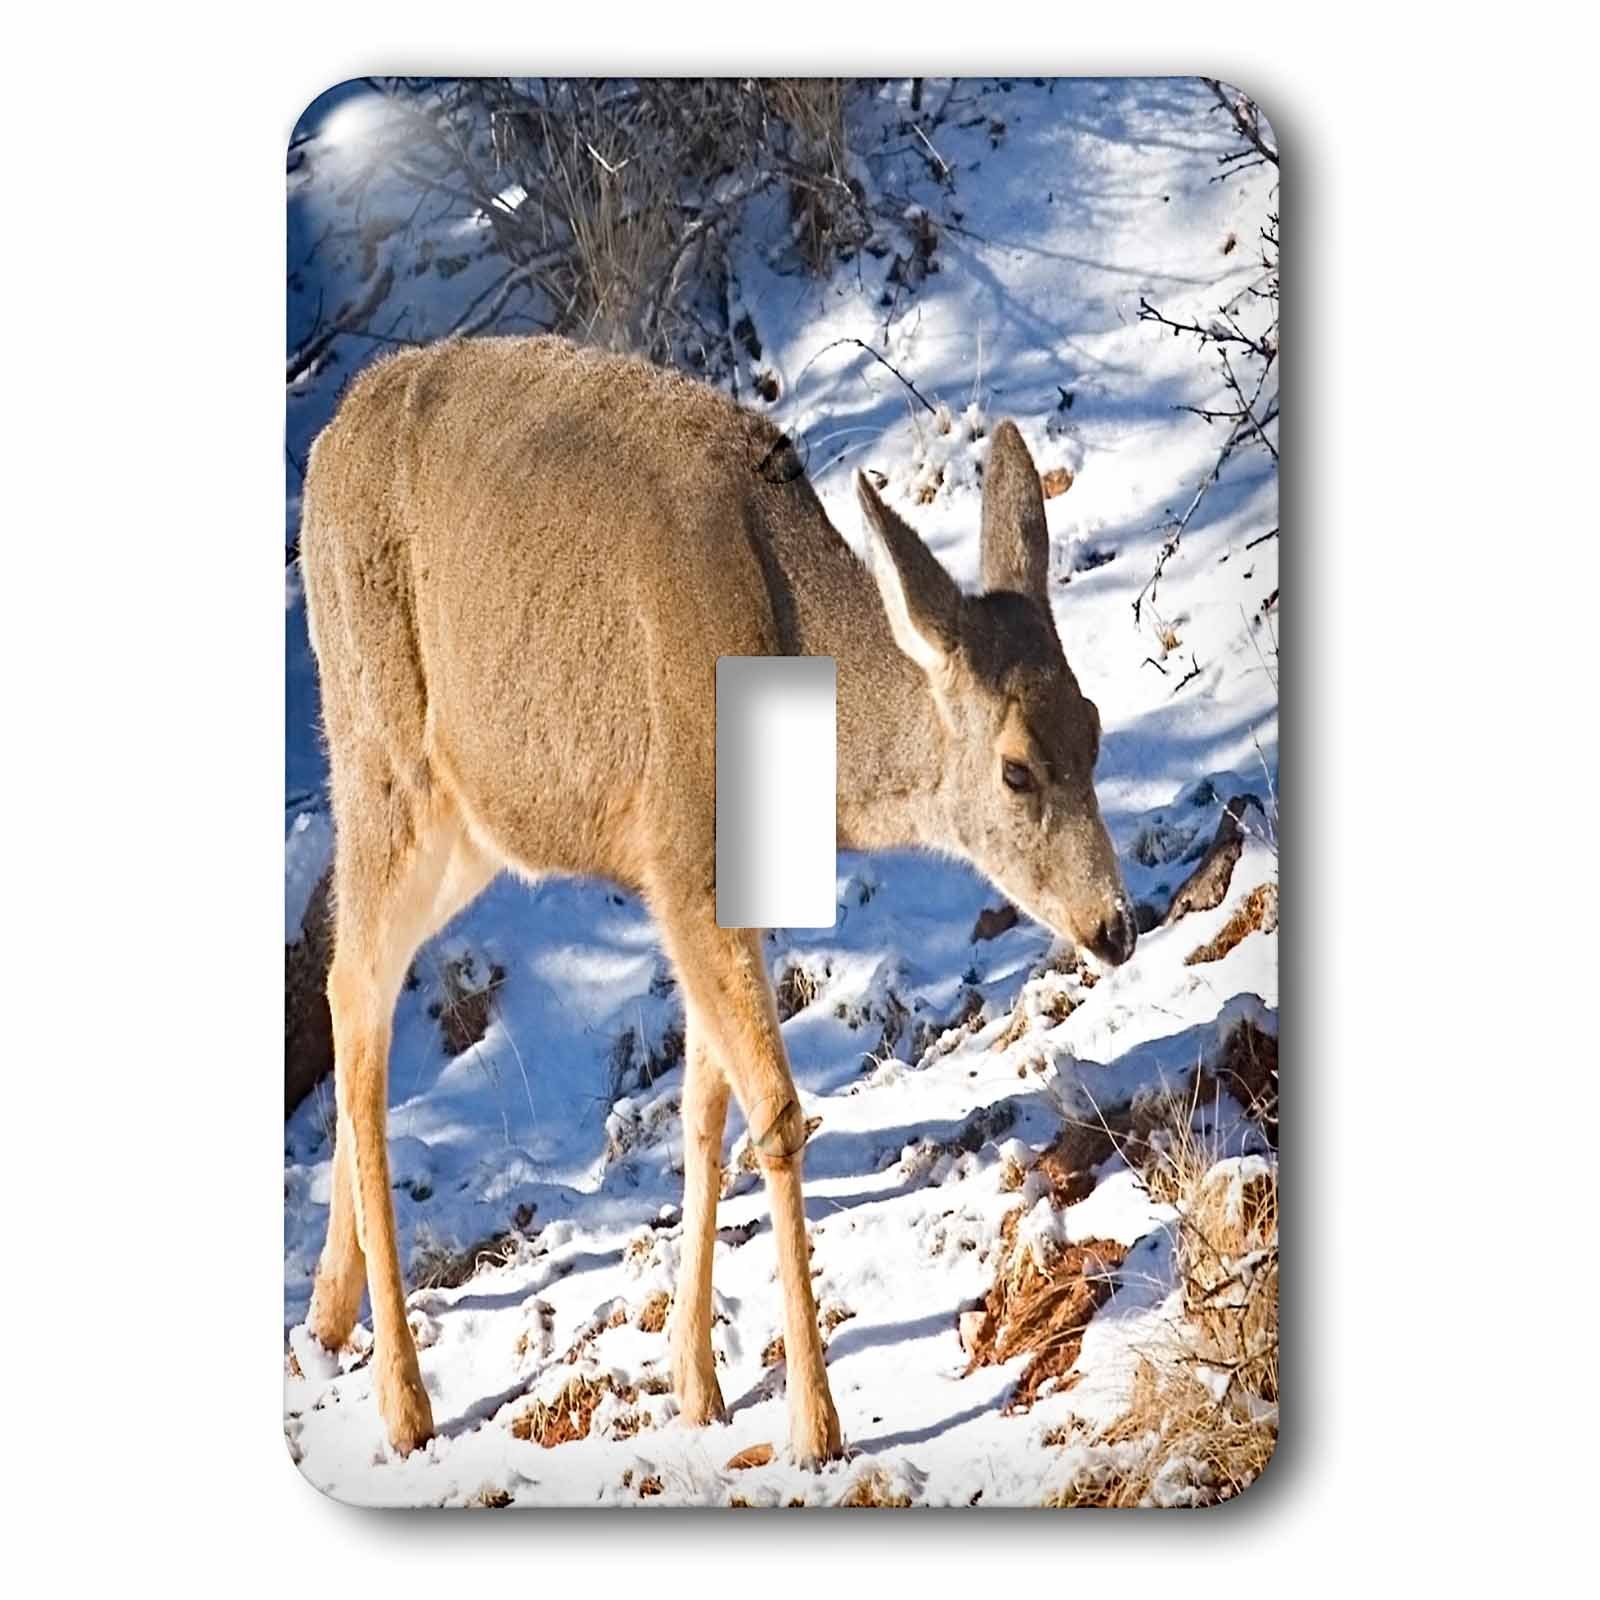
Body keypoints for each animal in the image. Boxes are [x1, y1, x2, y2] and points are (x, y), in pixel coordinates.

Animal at [298, 334, 1138, 1466]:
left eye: (1094, 726)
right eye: (1014, 769)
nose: (1114, 925)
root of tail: (324, 444)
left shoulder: (723, 884)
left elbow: (702, 1112)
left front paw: (696, 1383)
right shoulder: (678, 850)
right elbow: (776, 1113)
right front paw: (814, 1424)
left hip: (473, 826)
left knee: (363, 992)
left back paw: (326, 1314)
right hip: (381, 758)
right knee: (353, 989)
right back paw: (402, 1398)